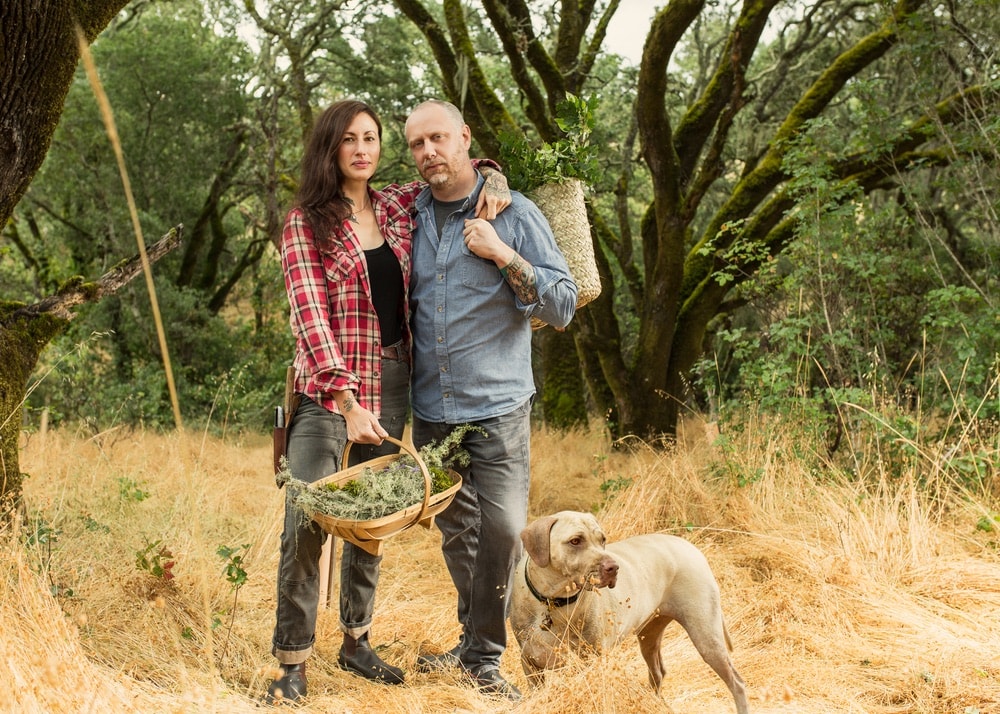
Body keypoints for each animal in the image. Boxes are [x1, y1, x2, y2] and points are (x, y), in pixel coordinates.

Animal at [512, 508, 748, 708]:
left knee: (736, 682)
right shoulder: (530, 665)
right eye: (575, 541)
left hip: (706, 636)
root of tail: (692, 547)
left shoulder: (592, 663)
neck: (551, 601)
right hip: (649, 636)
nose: (613, 567)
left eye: (602, 539)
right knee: (658, 672)